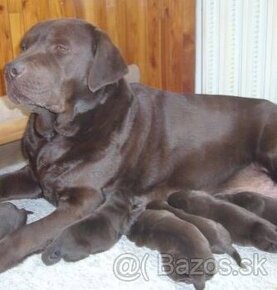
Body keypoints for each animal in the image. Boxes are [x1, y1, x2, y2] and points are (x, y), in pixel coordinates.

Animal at [1, 18, 276, 272]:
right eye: (24, 46)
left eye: (61, 48)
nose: (10, 70)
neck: (55, 135)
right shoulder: (32, 174)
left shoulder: (83, 200)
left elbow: (30, 232)